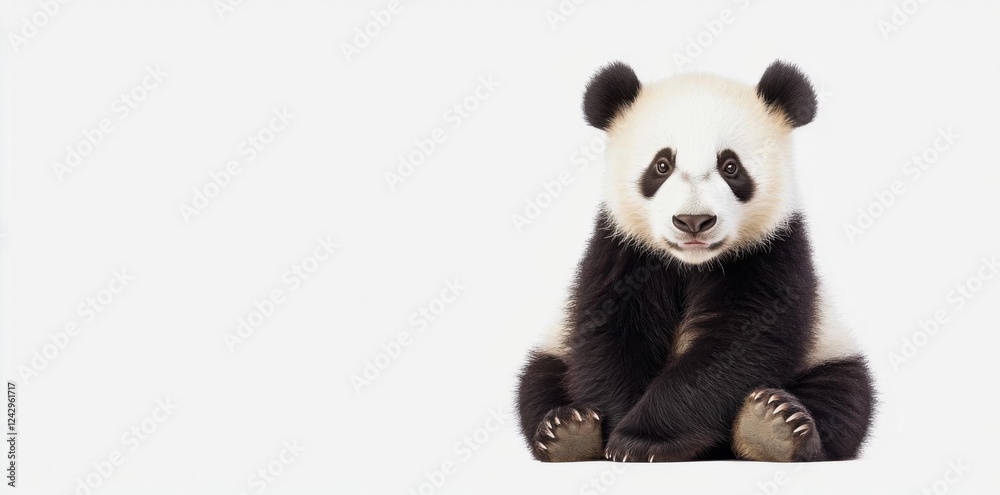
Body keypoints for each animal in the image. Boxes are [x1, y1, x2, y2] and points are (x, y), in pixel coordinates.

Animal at [516, 61, 875, 463]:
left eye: (731, 166)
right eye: (661, 165)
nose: (693, 221)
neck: (691, 263)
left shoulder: (772, 252)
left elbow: (738, 344)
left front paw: (642, 440)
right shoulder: (622, 250)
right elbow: (611, 335)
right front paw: (611, 434)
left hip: (827, 347)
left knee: (844, 396)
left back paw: (773, 427)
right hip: (554, 348)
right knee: (537, 381)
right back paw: (566, 430)